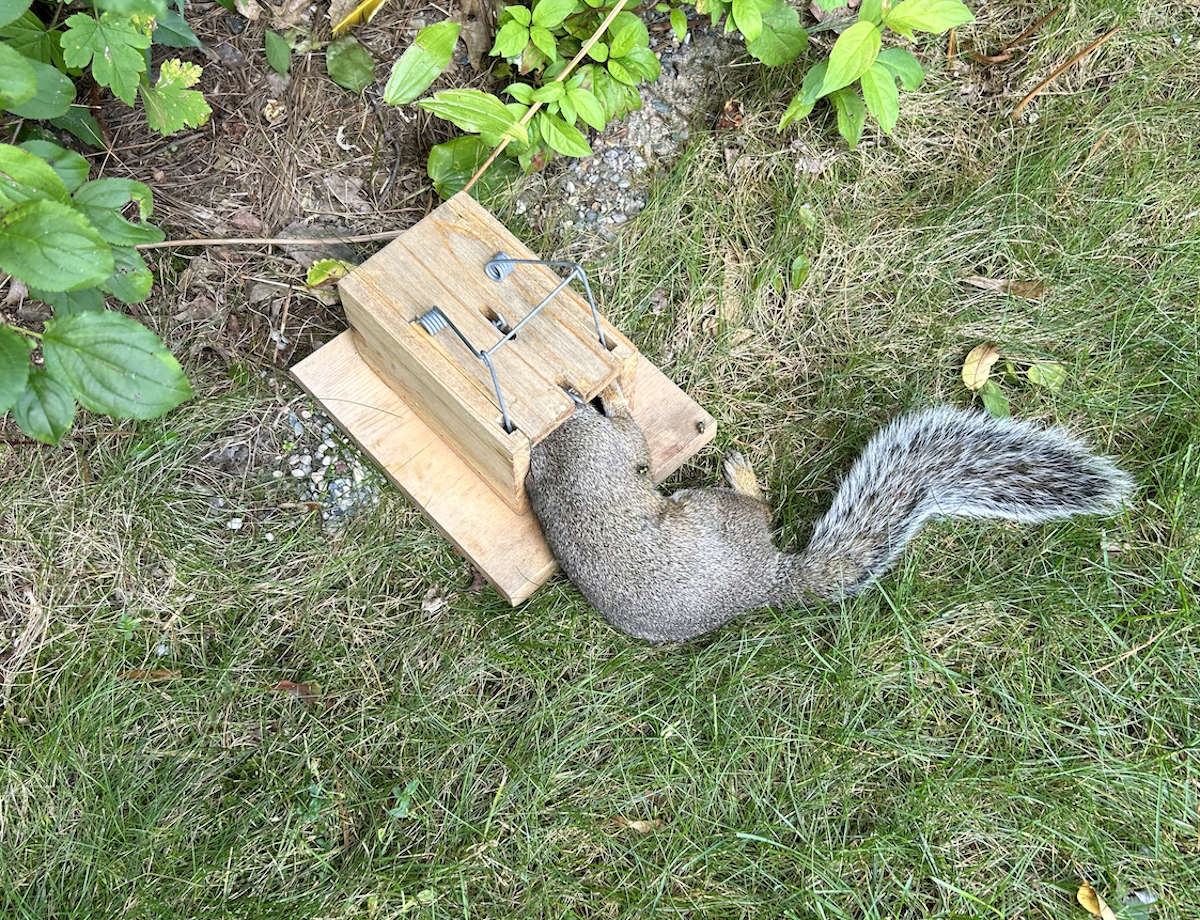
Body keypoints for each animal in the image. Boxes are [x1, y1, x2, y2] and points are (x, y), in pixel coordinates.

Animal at [526, 384, 1134, 642]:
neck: (552, 456)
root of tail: (764, 580)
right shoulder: (603, 449)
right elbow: (633, 442)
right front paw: (615, 399)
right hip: (710, 510)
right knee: (761, 506)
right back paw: (743, 478)